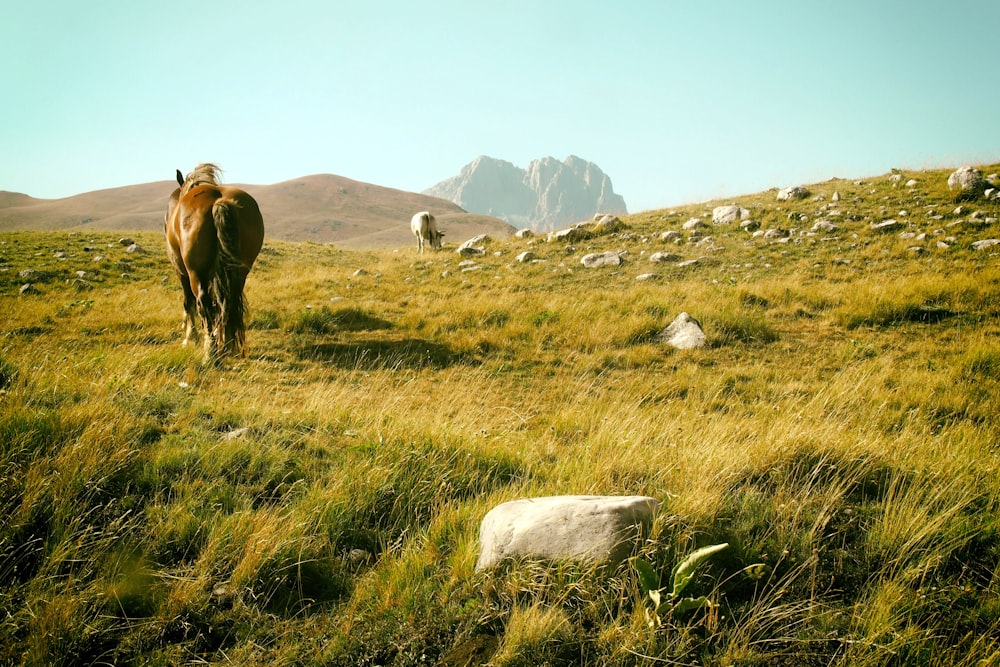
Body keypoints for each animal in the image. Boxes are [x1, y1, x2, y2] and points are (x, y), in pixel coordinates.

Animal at [162, 166, 262, 366]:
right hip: (240, 273)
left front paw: (190, 338)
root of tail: (219, 201)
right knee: (229, 303)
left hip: (195, 273)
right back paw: (228, 345)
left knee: (203, 303)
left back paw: (210, 352)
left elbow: (188, 303)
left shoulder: (181, 272)